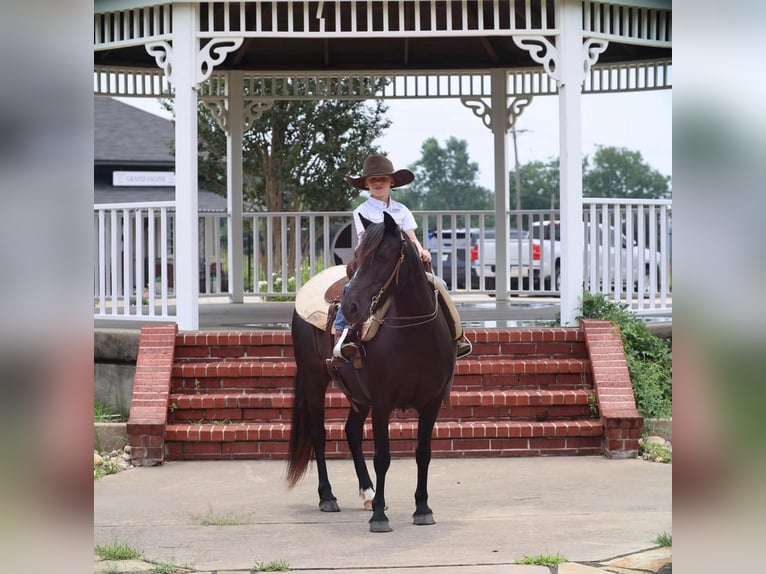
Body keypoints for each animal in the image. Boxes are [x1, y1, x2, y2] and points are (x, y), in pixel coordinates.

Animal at [286, 213, 456, 536]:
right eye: (357, 255)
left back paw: (367, 492)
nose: (350, 306)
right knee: (318, 433)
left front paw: (422, 508)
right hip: (315, 380)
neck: (416, 335)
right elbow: (382, 457)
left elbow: (423, 453)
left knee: (351, 431)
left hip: (358, 395)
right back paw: (328, 497)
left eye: (382, 255)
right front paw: (379, 516)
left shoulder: (431, 402)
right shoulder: (382, 402)